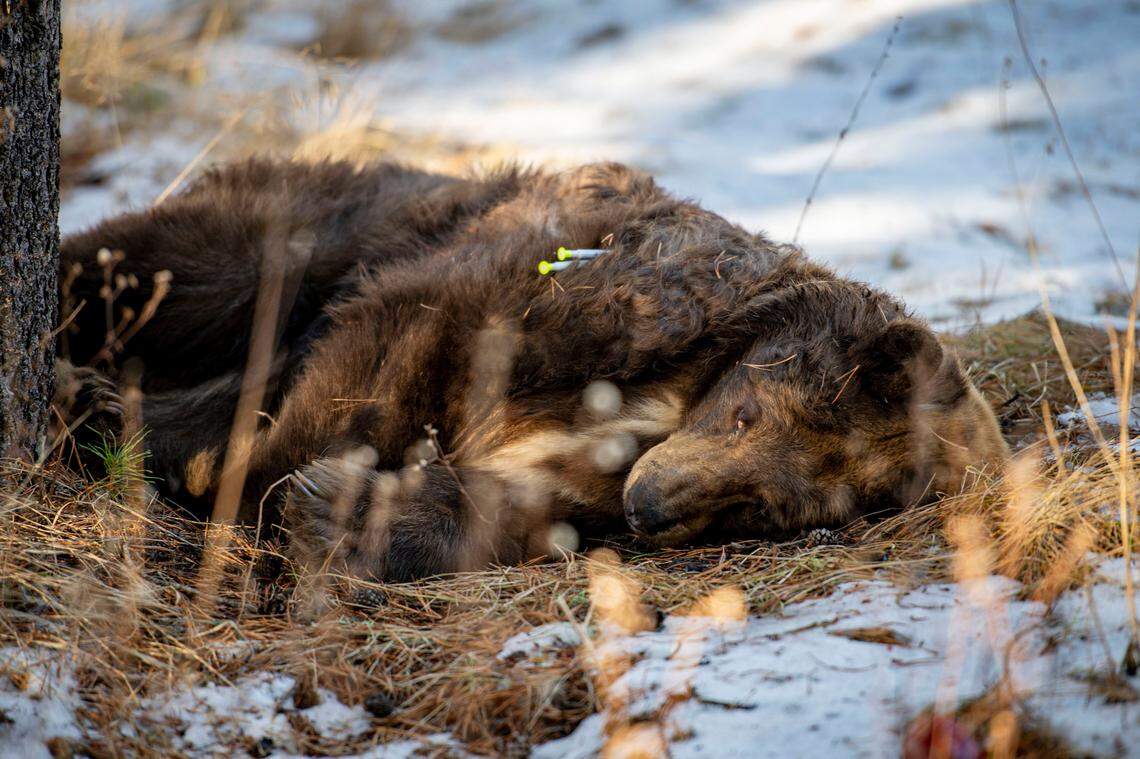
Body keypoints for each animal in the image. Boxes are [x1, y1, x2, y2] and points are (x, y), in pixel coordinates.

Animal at [58, 158, 1009, 582]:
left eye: (770, 506)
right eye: (749, 414)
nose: (650, 503)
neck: (684, 385)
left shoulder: (581, 468)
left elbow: (511, 509)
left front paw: (340, 507)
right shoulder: (583, 303)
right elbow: (391, 358)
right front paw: (259, 477)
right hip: (320, 224)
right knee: (185, 267)